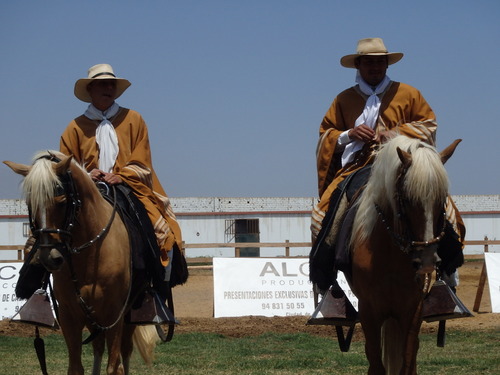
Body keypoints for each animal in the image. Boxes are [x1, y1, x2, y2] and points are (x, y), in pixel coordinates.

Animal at [4, 152, 158, 375]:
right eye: (30, 203)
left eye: (61, 201)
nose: (49, 257)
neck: (90, 257)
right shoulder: (70, 317)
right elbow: (76, 367)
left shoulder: (115, 316)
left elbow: (114, 367)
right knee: (98, 346)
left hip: (130, 313)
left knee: (125, 350)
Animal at [348, 136, 460, 375]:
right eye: (407, 199)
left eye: (441, 201)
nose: (426, 262)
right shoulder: (368, 309)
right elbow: (376, 361)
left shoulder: (413, 309)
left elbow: (408, 360)